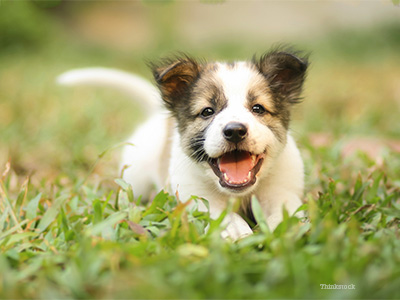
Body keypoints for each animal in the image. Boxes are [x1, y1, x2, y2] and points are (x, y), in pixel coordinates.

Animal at [57, 49, 310, 241]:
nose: (235, 131)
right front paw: (235, 230)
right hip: (135, 182)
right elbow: (223, 215)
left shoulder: (282, 192)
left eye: (258, 108)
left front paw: (284, 231)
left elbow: (284, 214)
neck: (241, 193)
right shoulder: (197, 197)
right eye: (207, 111)